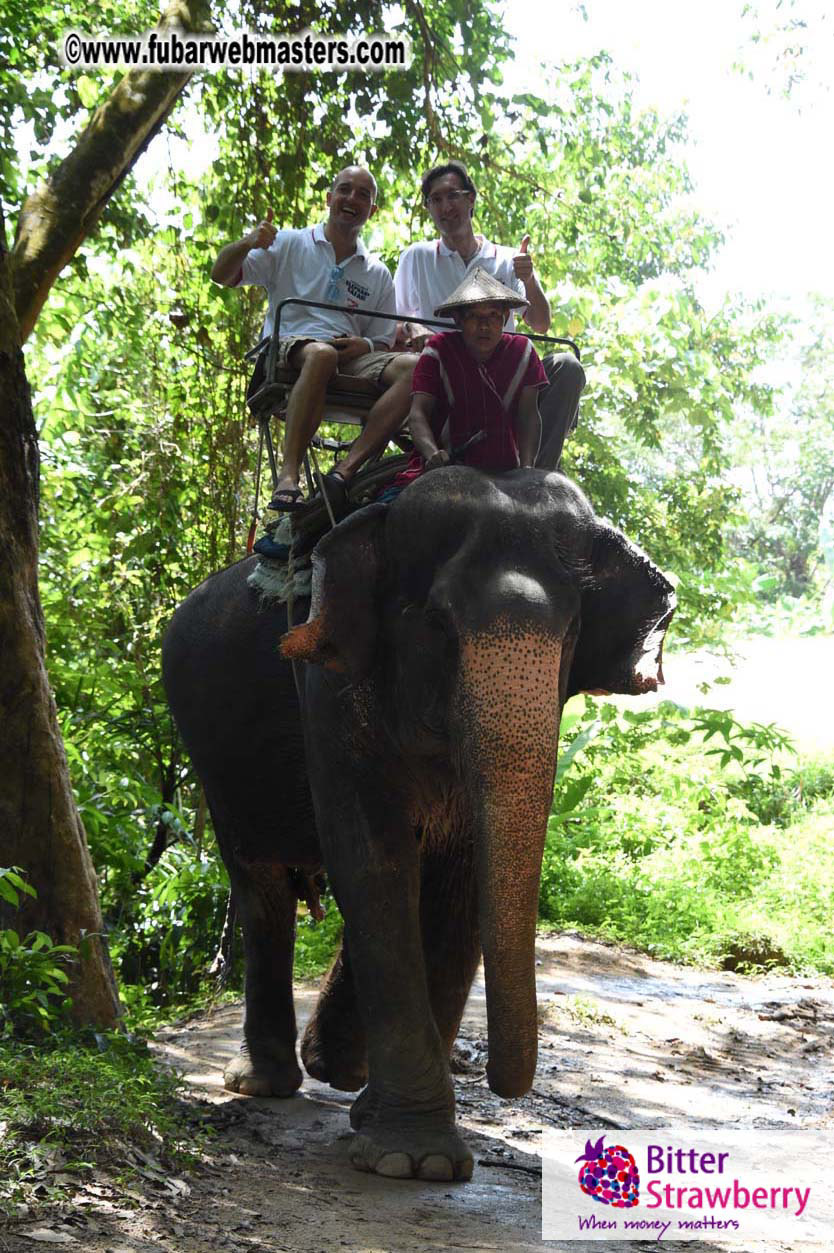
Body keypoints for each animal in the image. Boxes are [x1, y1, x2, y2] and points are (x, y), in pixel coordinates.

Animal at [162, 466, 674, 1182]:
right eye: (436, 625)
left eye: (573, 632)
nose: (500, 1082)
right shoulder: (326, 682)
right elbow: (373, 858)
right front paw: (415, 1160)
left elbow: (457, 872)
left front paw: (392, 1133)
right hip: (210, 746)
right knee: (262, 887)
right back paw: (265, 1083)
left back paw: (338, 1071)